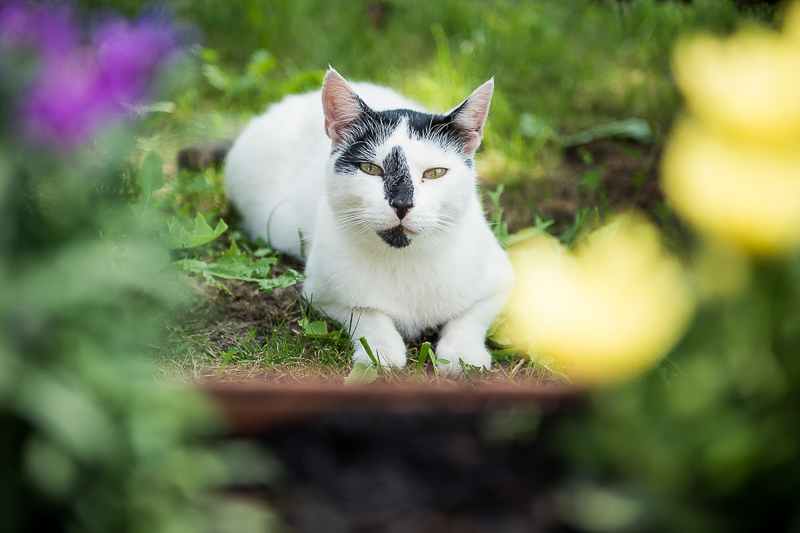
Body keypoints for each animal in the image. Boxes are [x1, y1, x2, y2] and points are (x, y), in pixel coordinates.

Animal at [223, 67, 512, 374]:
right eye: (370, 169)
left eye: (435, 173)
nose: (402, 204)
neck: (404, 262)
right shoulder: (321, 293)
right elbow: (368, 313)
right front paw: (380, 351)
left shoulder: (501, 281)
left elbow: (469, 316)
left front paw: (462, 354)